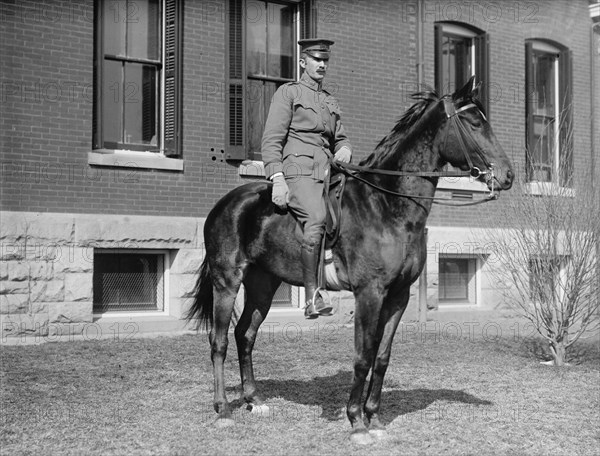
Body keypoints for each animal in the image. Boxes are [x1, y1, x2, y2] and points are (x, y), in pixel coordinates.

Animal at [188, 76, 510, 444]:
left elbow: (381, 357)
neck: (386, 204)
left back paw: (254, 400)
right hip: (227, 280)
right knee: (219, 341)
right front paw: (356, 421)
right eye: (474, 122)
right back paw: (223, 410)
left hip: (263, 284)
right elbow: (363, 356)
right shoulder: (369, 293)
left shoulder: (398, 296)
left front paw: (375, 417)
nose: (508, 175)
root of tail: (226, 202)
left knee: (245, 335)